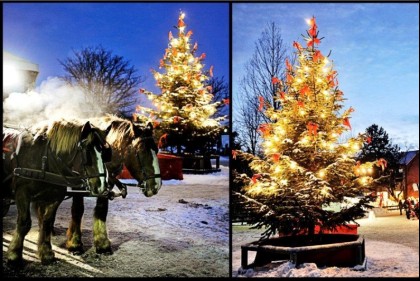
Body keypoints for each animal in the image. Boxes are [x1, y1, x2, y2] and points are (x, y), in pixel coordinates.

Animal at [2, 119, 110, 264]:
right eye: (87, 151)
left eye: (105, 153)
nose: (102, 186)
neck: (44, 159)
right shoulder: (22, 193)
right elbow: (24, 223)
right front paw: (14, 255)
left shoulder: (55, 197)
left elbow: (47, 223)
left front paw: (46, 253)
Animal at [65, 115, 162, 255]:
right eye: (141, 151)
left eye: (157, 149)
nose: (156, 186)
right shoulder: (77, 186)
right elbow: (77, 210)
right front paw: (75, 244)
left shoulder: (106, 186)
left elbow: (101, 210)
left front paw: (102, 245)